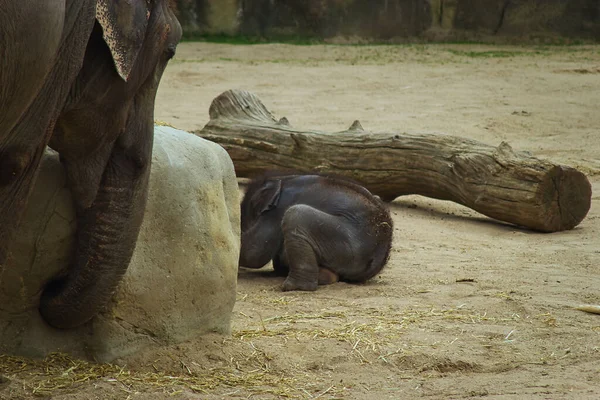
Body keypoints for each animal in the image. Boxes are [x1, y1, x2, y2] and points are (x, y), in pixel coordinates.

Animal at [239, 172, 394, 290]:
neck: (280, 179)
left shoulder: (277, 211)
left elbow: (254, 253)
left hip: (346, 244)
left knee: (295, 214)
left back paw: (292, 286)